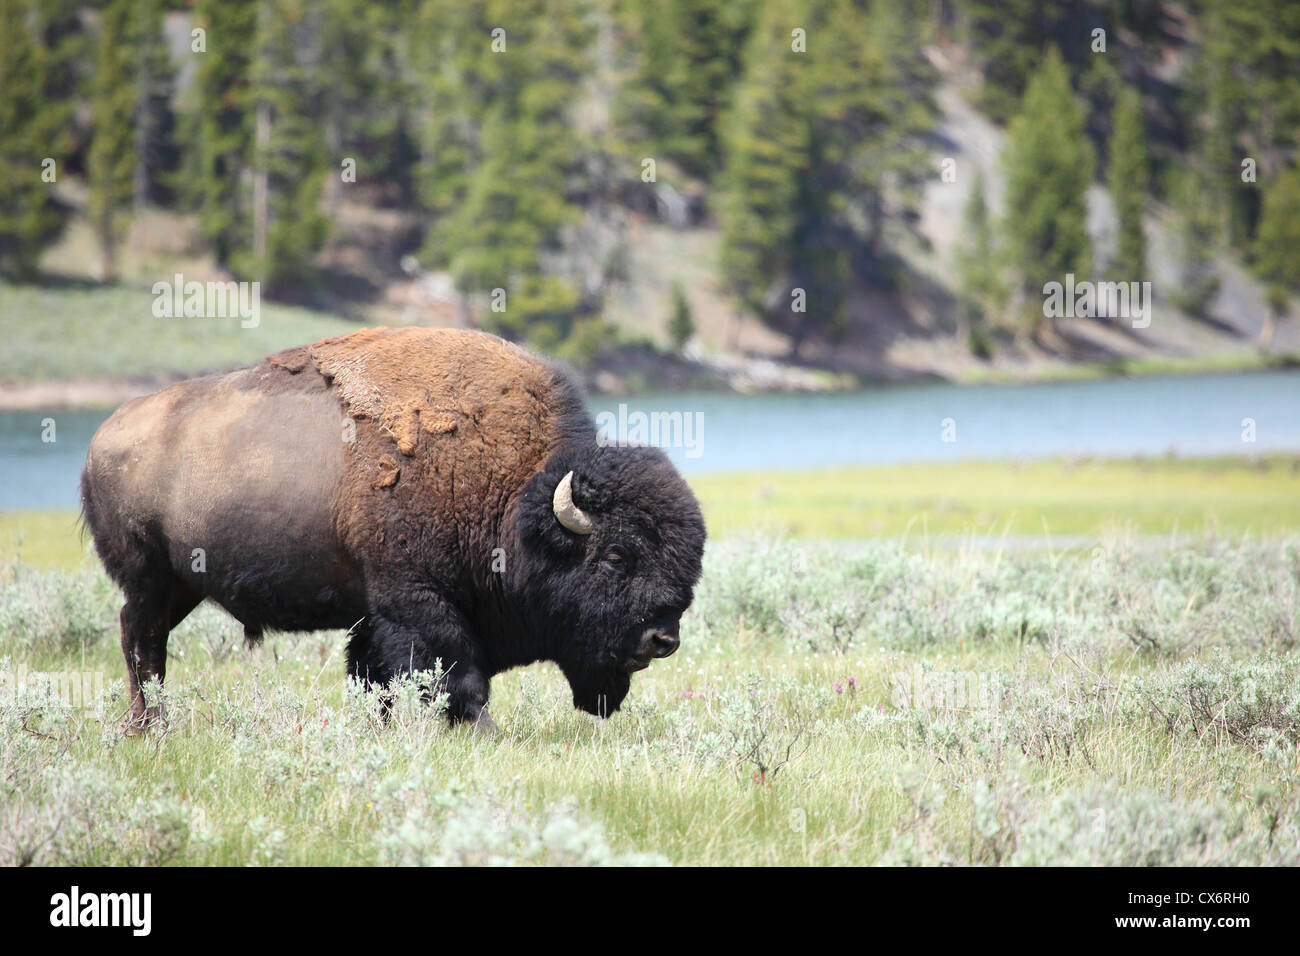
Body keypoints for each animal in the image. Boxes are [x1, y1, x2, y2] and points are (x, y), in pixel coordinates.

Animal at [81, 327, 706, 730]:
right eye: (617, 555)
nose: (663, 639)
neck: (509, 492)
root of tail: (101, 438)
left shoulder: (374, 613)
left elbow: (371, 676)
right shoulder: (416, 601)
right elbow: (455, 674)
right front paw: (481, 731)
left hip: (182, 584)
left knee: (147, 638)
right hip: (148, 577)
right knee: (141, 640)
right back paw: (148, 724)